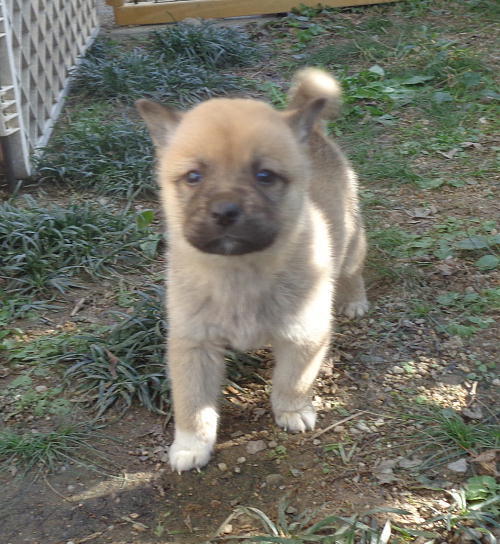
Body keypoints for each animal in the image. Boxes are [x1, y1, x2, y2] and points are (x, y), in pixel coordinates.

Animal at [136, 68, 368, 472]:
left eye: (265, 176)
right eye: (193, 177)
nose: (225, 212)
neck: (238, 273)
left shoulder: (304, 337)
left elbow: (292, 382)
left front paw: (292, 411)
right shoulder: (193, 345)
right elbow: (192, 405)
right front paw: (191, 445)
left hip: (352, 240)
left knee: (352, 271)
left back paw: (354, 300)